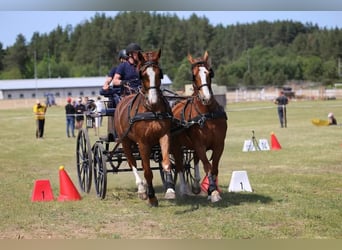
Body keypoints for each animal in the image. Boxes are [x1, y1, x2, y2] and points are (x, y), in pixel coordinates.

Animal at [113, 48, 175, 207]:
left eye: (159, 73)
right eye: (143, 75)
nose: (153, 100)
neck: (151, 109)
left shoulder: (164, 135)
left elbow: (166, 164)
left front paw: (170, 190)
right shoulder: (142, 142)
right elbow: (147, 171)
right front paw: (151, 197)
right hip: (125, 141)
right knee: (132, 162)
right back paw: (142, 189)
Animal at [171, 50, 227, 203]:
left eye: (209, 73)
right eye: (194, 75)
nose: (206, 97)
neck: (207, 114)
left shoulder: (219, 144)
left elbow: (214, 168)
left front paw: (211, 190)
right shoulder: (199, 144)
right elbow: (207, 166)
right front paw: (213, 192)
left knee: (194, 160)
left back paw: (196, 185)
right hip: (176, 146)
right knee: (179, 165)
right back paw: (183, 190)